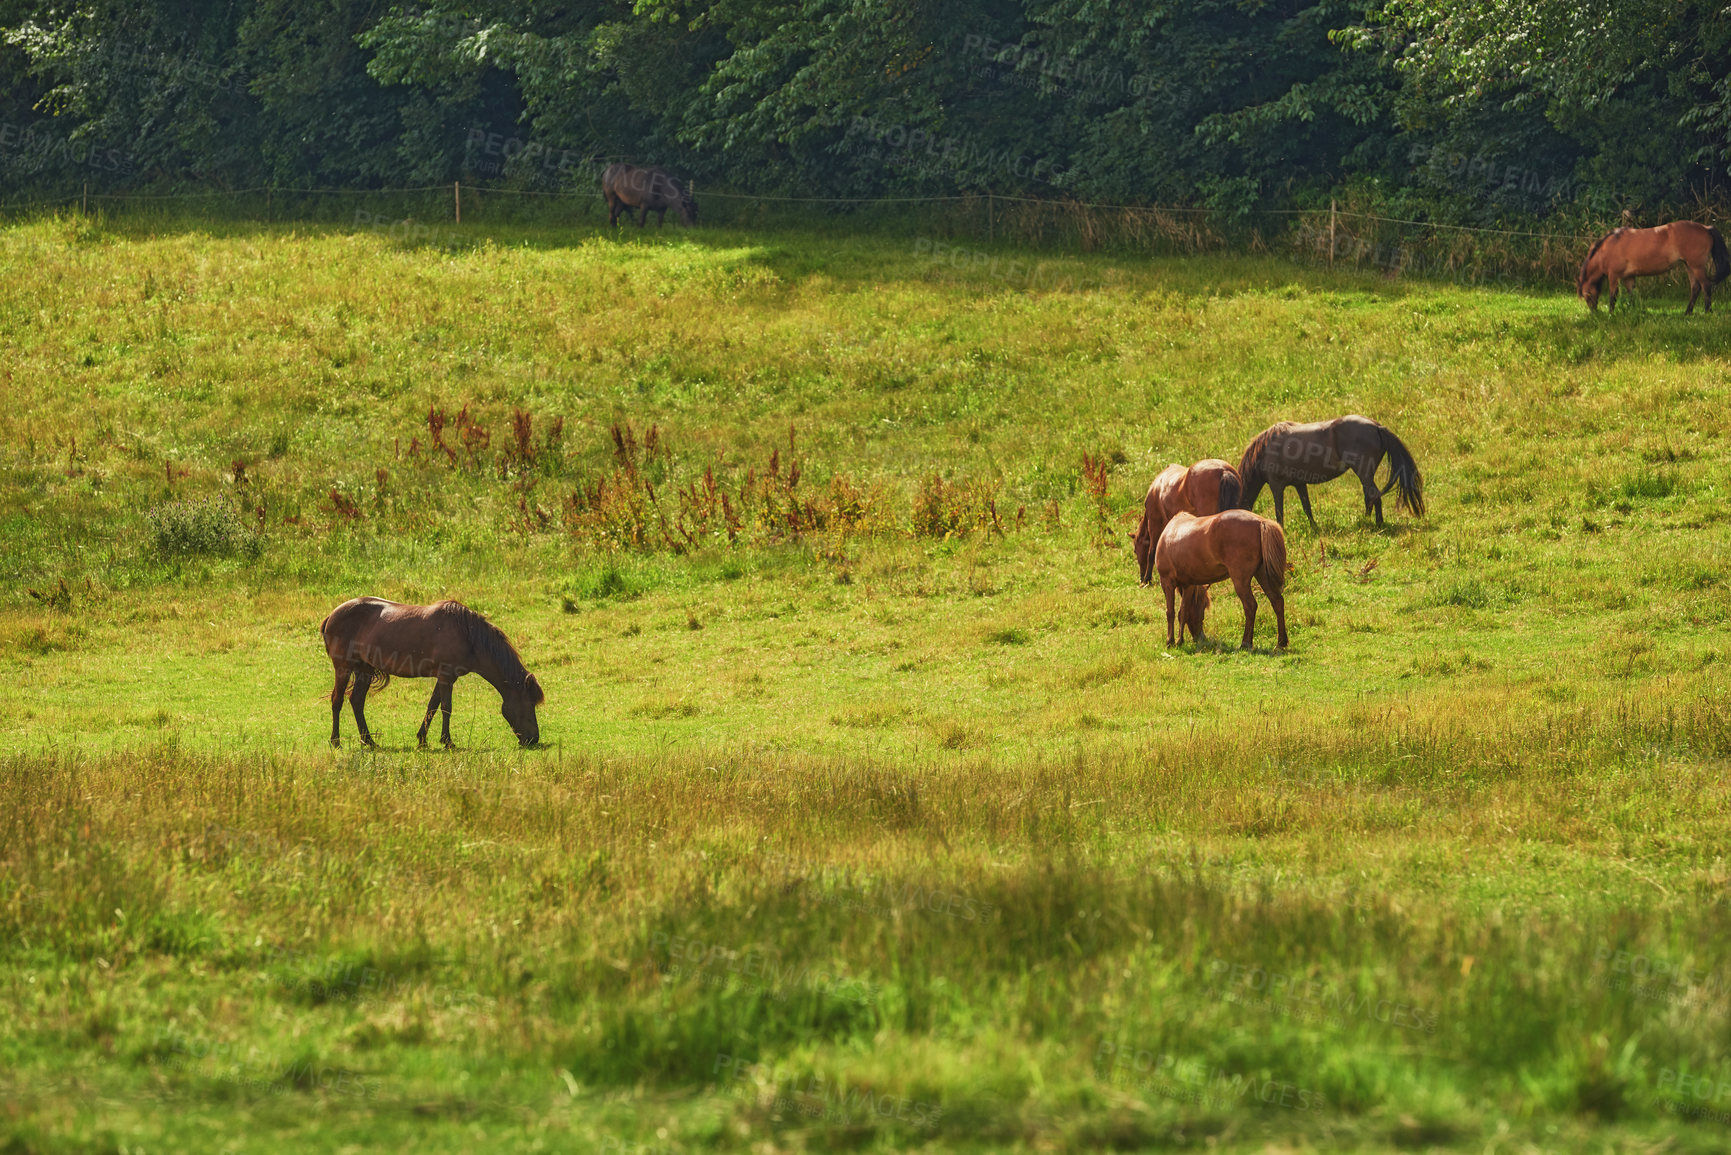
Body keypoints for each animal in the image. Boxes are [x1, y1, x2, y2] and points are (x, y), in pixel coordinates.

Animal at [318, 595, 543, 751]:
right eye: (530, 704)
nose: (533, 739)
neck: (468, 634)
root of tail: (331, 616)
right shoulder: (446, 677)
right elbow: (446, 708)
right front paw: (448, 741)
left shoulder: (444, 678)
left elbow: (432, 707)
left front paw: (422, 740)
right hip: (343, 668)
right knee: (337, 700)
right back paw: (336, 741)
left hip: (364, 670)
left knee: (356, 701)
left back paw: (369, 741)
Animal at [1128, 460, 1239, 588]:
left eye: (1135, 550)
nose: (1141, 578)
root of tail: (1223, 471)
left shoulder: (1155, 523)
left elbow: (1152, 550)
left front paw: (1148, 579)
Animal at [1156, 512, 1294, 651]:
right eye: (1202, 606)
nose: (1201, 637)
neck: (1171, 534)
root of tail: (1261, 522)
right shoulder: (1189, 585)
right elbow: (1183, 612)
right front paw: (1180, 640)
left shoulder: (1167, 583)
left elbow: (1170, 612)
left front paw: (1170, 641)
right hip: (1262, 575)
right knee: (1277, 601)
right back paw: (1280, 643)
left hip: (1241, 581)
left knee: (1250, 606)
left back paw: (1245, 643)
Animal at [1239, 415, 1426, 529]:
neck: (1266, 449)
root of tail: (1377, 427)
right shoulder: (1300, 484)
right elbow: (1307, 507)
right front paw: (1314, 528)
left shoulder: (1276, 485)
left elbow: (1279, 511)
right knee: (1370, 496)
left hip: (1364, 473)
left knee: (1373, 495)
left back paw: (1374, 523)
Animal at [1585, 219, 1731, 311]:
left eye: (1587, 295)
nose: (1594, 313)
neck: (1610, 247)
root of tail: (1706, 228)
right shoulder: (1629, 277)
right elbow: (1632, 295)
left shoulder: (1614, 276)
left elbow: (1613, 296)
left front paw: (1611, 314)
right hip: (1689, 266)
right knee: (1695, 287)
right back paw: (1687, 313)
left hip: (1696, 266)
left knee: (1706, 286)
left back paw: (1707, 311)